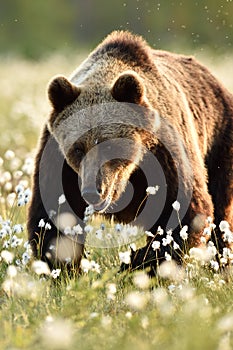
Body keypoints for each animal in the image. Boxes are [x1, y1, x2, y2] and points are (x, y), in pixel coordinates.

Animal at [27, 30, 233, 274]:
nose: (91, 191)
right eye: (77, 148)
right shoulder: (59, 162)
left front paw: (135, 262)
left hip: (219, 142)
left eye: (108, 145)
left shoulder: (166, 155)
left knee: (221, 211)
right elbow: (52, 218)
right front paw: (64, 269)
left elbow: (185, 212)